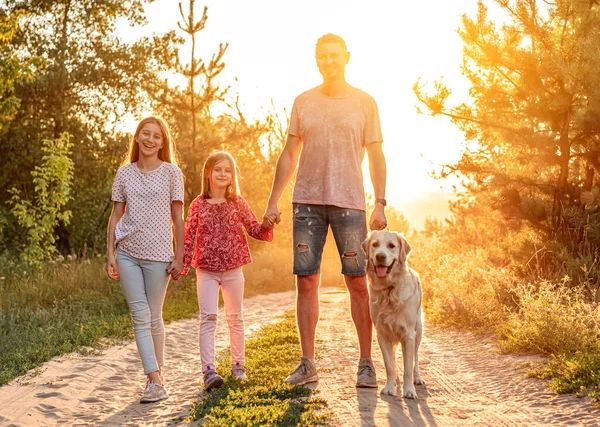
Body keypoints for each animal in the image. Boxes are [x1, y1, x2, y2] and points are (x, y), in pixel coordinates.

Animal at [364, 229, 424, 400]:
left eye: (391, 246)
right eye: (375, 245)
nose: (380, 256)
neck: (389, 290)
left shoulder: (409, 335)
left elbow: (408, 367)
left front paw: (409, 390)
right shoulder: (382, 334)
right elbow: (389, 364)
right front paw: (390, 387)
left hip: (418, 332)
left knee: (416, 359)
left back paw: (417, 378)